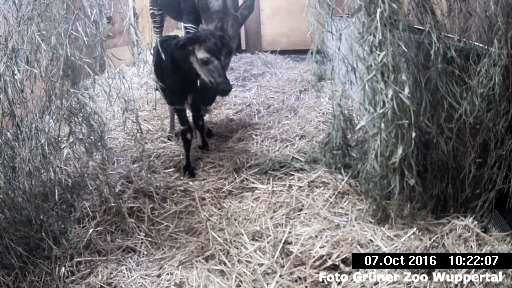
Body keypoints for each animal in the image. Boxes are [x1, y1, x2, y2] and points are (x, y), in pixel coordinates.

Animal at [152, 30, 232, 177]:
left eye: (222, 57)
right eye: (204, 60)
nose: (226, 88)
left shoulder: (193, 93)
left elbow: (198, 120)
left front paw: (204, 143)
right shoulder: (176, 98)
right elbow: (186, 131)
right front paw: (188, 167)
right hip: (163, 90)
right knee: (170, 109)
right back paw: (171, 132)